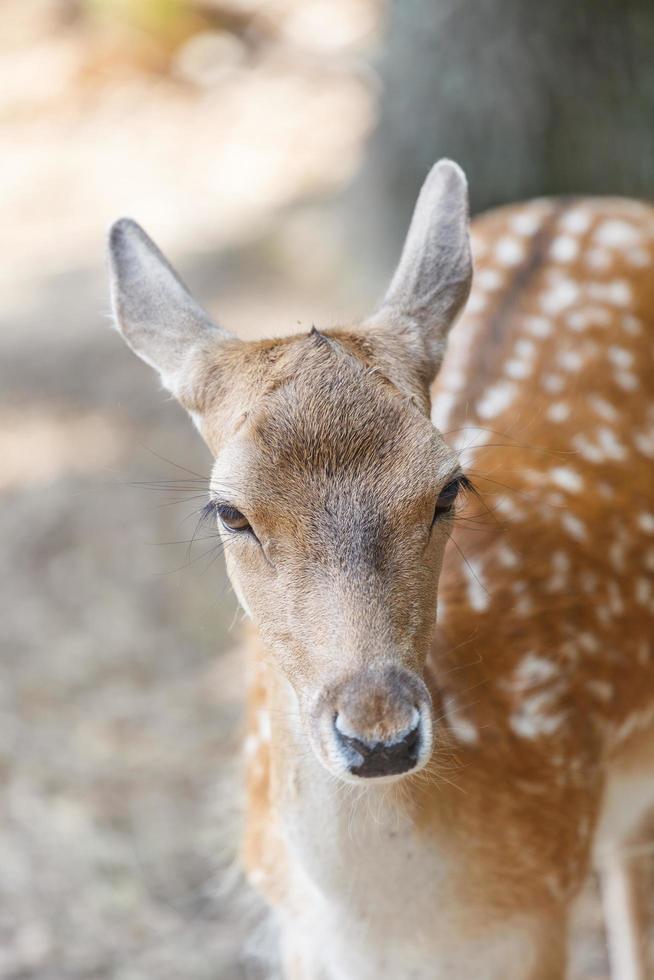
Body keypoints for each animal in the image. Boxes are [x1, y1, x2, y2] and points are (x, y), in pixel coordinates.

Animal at [109, 161, 654, 980]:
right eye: (229, 512)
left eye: (449, 486)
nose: (379, 738)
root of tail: (584, 201)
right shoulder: (297, 932)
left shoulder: (540, 917)